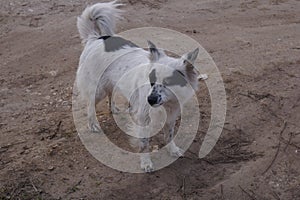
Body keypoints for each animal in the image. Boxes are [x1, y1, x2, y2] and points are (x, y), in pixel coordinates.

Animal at [76, 1, 200, 172]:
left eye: (168, 82)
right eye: (151, 80)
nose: (150, 99)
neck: (167, 103)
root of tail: (95, 38)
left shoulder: (171, 117)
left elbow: (169, 135)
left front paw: (172, 150)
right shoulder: (143, 119)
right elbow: (144, 143)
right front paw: (146, 163)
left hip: (111, 83)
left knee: (110, 94)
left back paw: (113, 108)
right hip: (98, 89)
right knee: (90, 105)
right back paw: (92, 124)